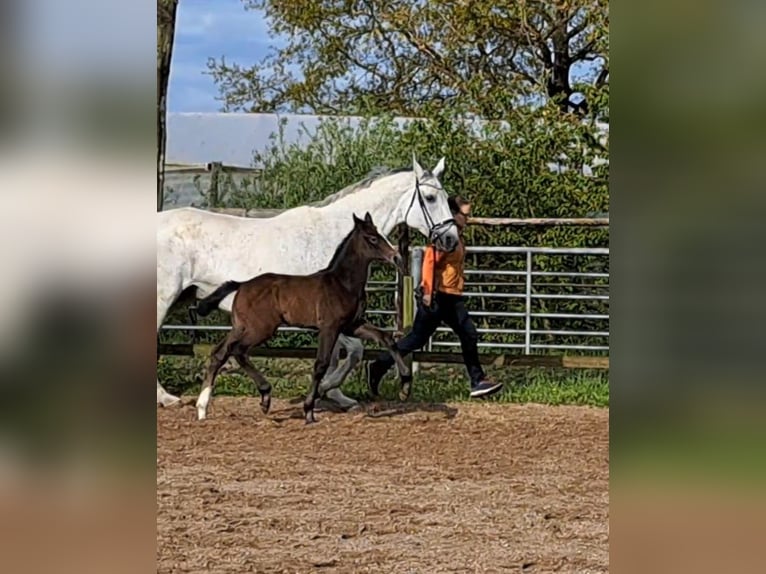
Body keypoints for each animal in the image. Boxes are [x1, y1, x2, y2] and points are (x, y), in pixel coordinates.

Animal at [192, 214, 414, 426]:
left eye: (380, 234)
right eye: (372, 238)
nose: (396, 257)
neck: (342, 283)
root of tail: (242, 284)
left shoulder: (352, 325)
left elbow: (387, 338)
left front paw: (405, 386)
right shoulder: (330, 328)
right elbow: (321, 364)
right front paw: (308, 411)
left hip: (241, 327)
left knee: (220, 352)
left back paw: (204, 408)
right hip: (261, 329)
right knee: (238, 351)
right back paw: (264, 395)